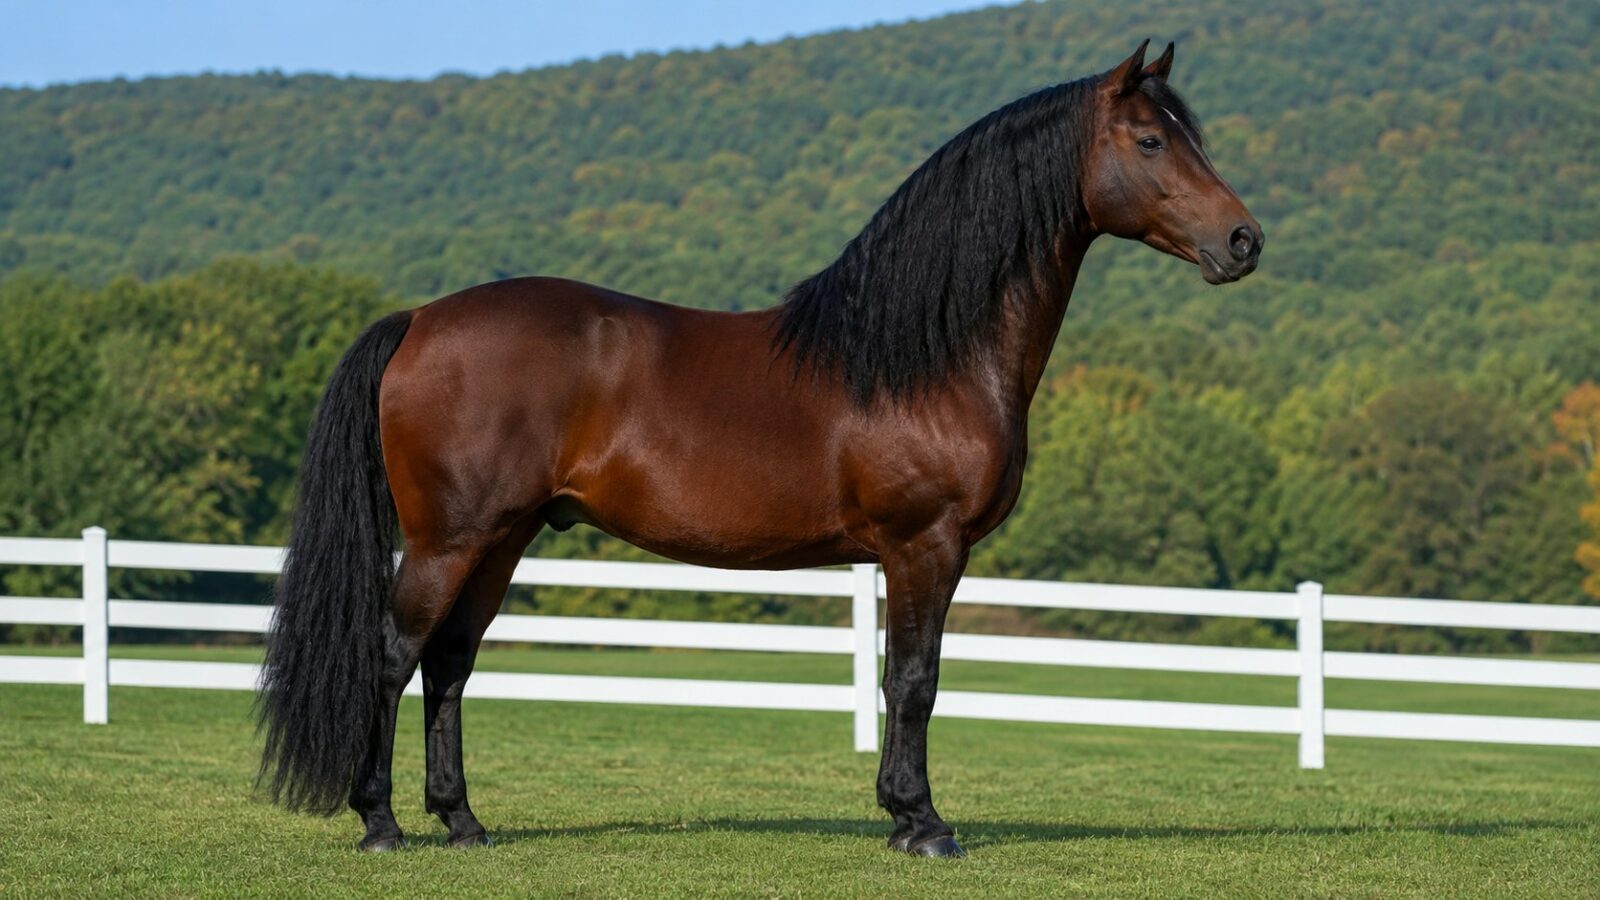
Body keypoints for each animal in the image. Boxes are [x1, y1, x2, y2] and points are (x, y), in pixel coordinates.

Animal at [258, 40, 1262, 858]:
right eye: (1150, 142)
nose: (1244, 240)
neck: (928, 353)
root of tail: (420, 318)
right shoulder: (925, 546)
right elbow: (914, 680)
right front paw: (921, 823)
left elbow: (904, 680)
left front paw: (903, 814)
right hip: (449, 540)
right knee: (393, 655)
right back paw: (381, 822)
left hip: (501, 538)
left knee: (450, 663)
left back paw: (463, 822)